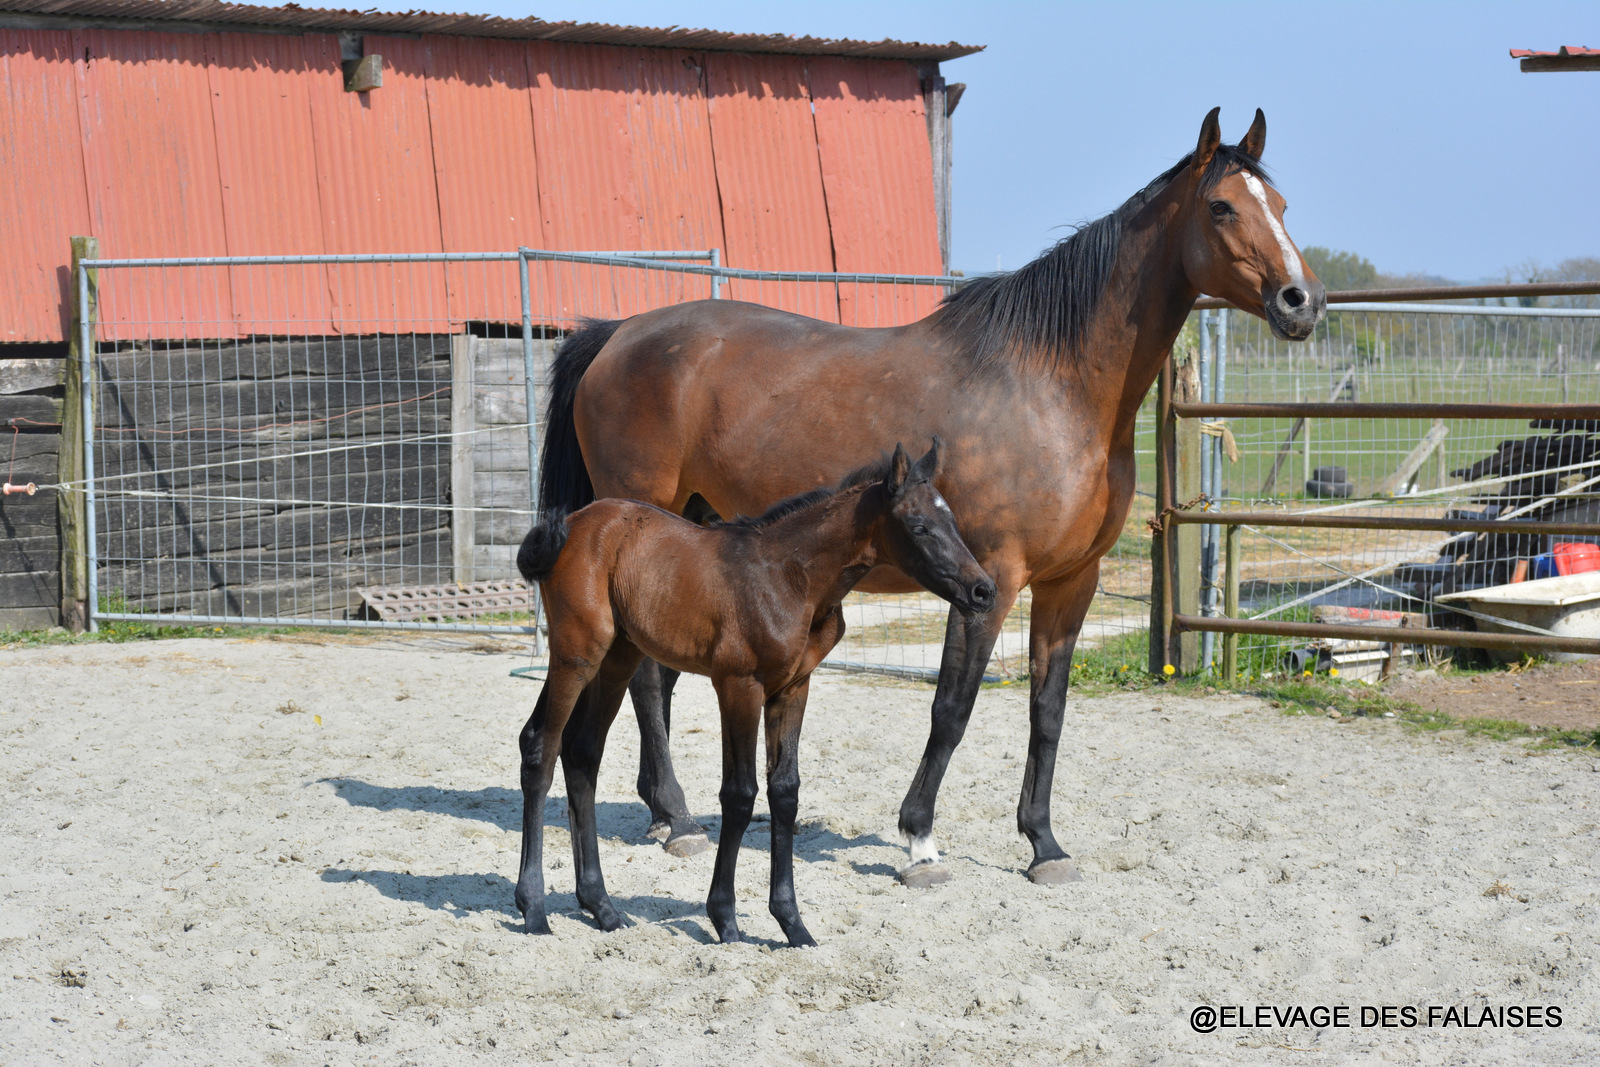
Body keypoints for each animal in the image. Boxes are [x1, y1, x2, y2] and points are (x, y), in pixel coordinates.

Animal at [515, 438, 985, 947]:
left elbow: (785, 792)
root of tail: (572, 524)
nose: (983, 589)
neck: (791, 577)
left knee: (582, 752)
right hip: (577, 655)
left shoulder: (793, 688)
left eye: (953, 523)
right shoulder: (739, 686)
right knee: (541, 749)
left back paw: (601, 906)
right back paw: (534, 909)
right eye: (920, 527)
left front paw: (793, 923)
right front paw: (725, 918)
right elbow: (739, 795)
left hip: (616, 659)